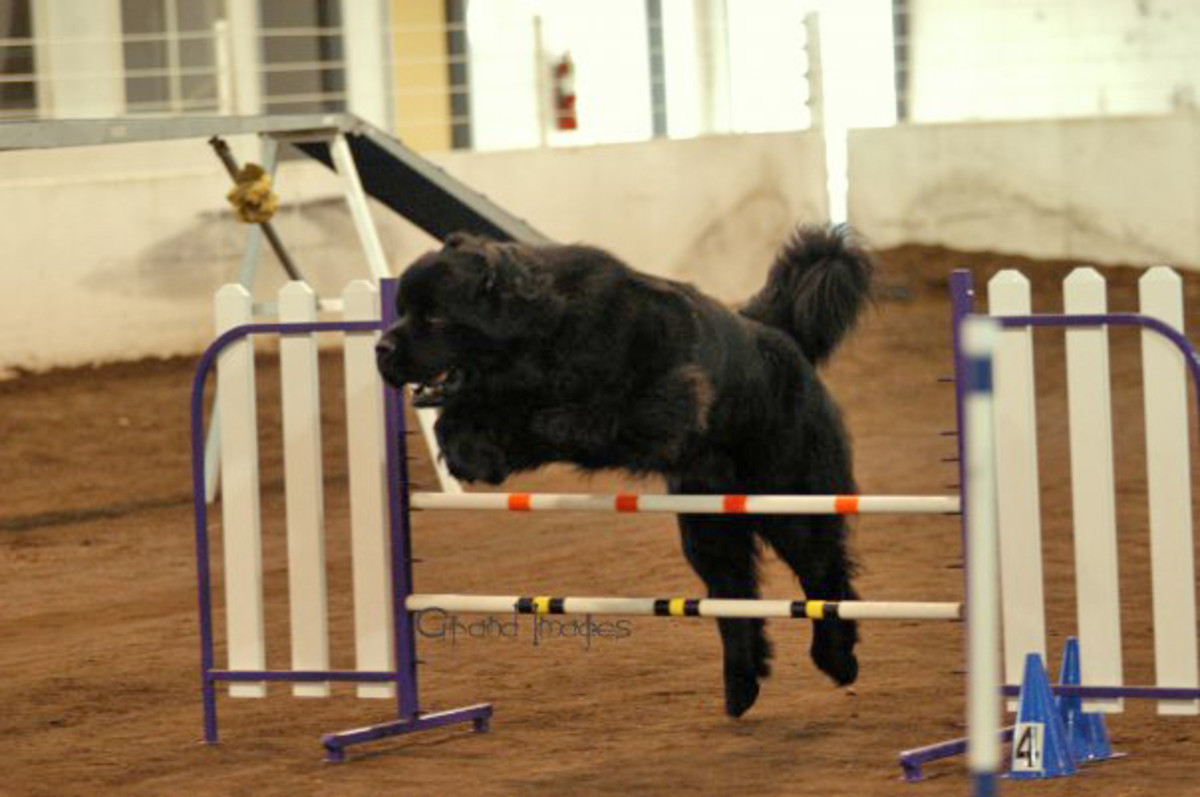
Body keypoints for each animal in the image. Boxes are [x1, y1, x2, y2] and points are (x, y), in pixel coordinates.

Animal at [374, 226, 873, 720]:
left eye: (435, 318)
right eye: (401, 312)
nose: (381, 347)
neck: (545, 331)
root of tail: (776, 332)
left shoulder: (663, 403)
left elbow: (568, 418)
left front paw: (519, 427)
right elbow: (469, 416)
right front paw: (470, 448)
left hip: (789, 500)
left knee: (823, 572)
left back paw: (837, 659)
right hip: (706, 523)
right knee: (733, 591)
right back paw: (741, 684)